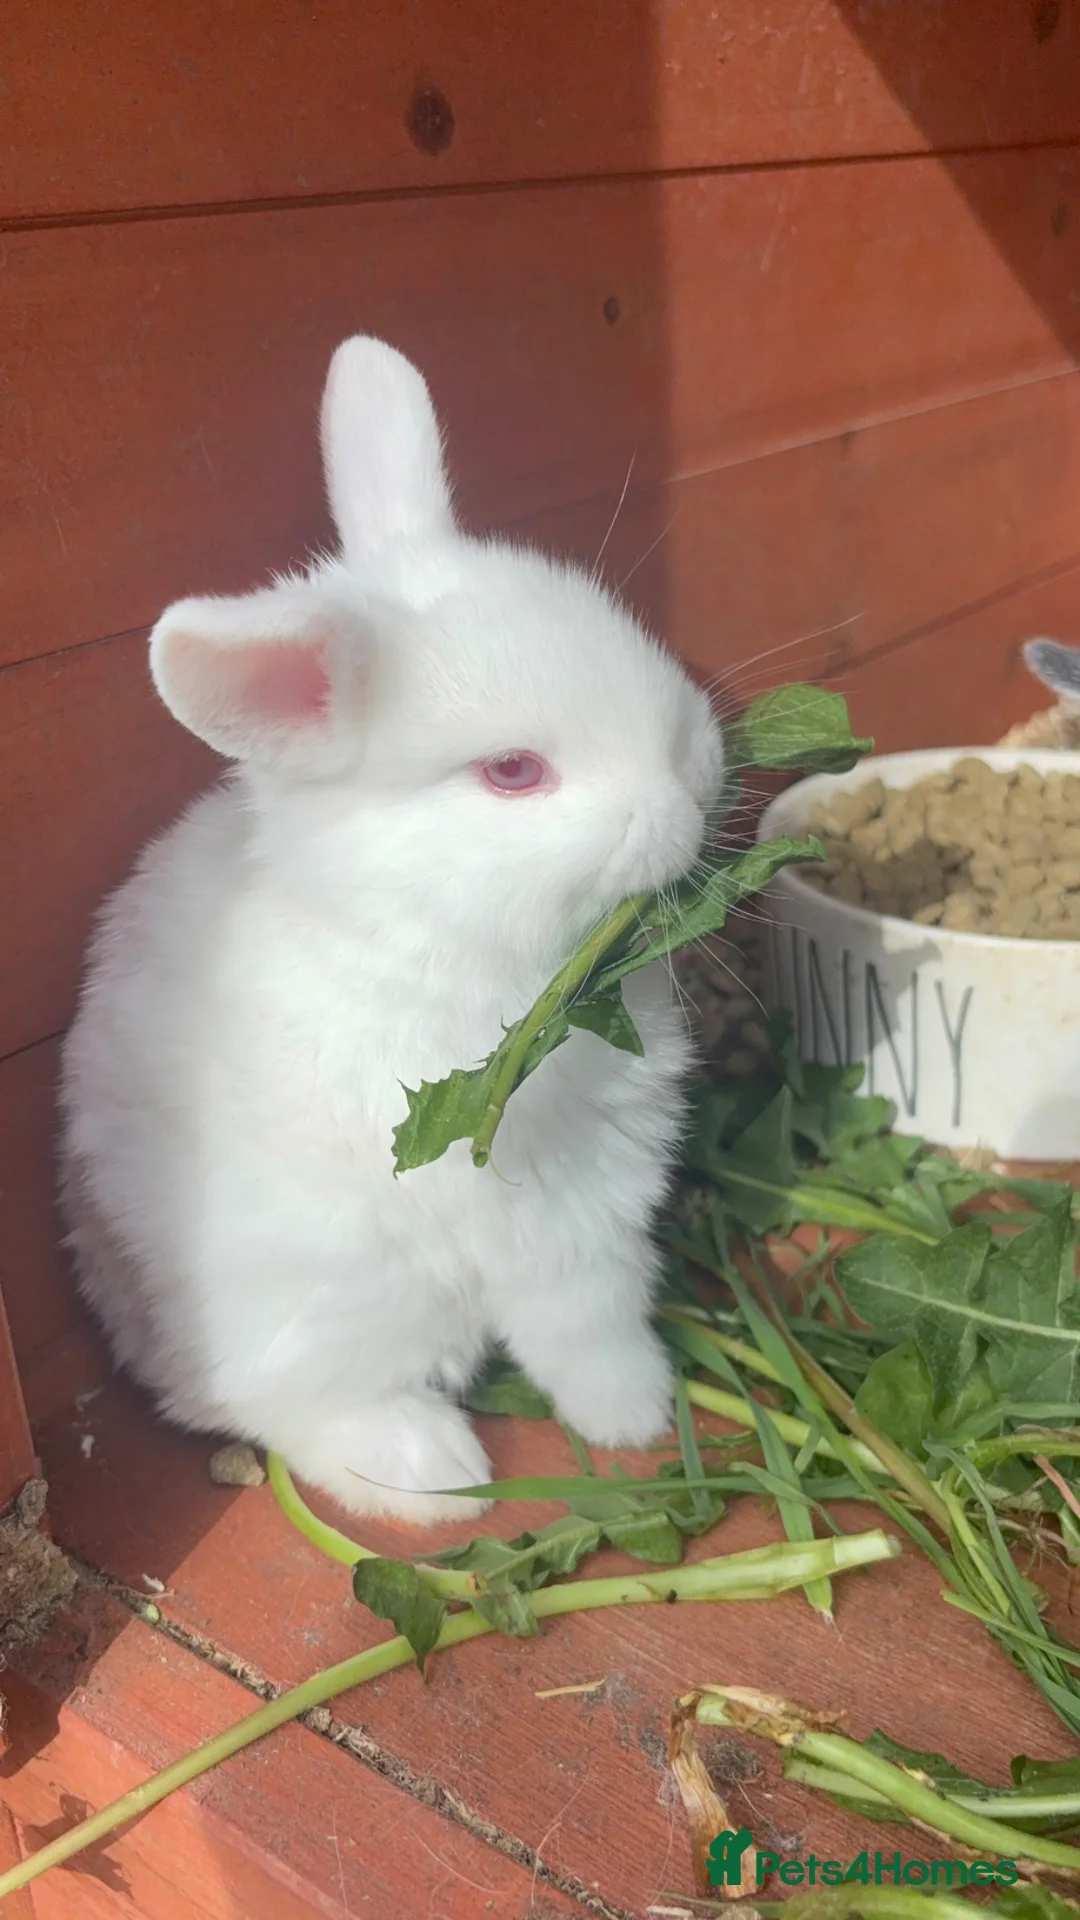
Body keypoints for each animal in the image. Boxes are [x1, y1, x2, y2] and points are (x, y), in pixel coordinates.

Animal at [58, 335, 726, 1525]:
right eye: (512, 772)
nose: (696, 780)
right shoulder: (536, 1208)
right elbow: (577, 1315)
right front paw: (638, 1419)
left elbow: (602, 1310)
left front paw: (636, 1412)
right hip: (325, 1303)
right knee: (291, 1412)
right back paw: (439, 1479)